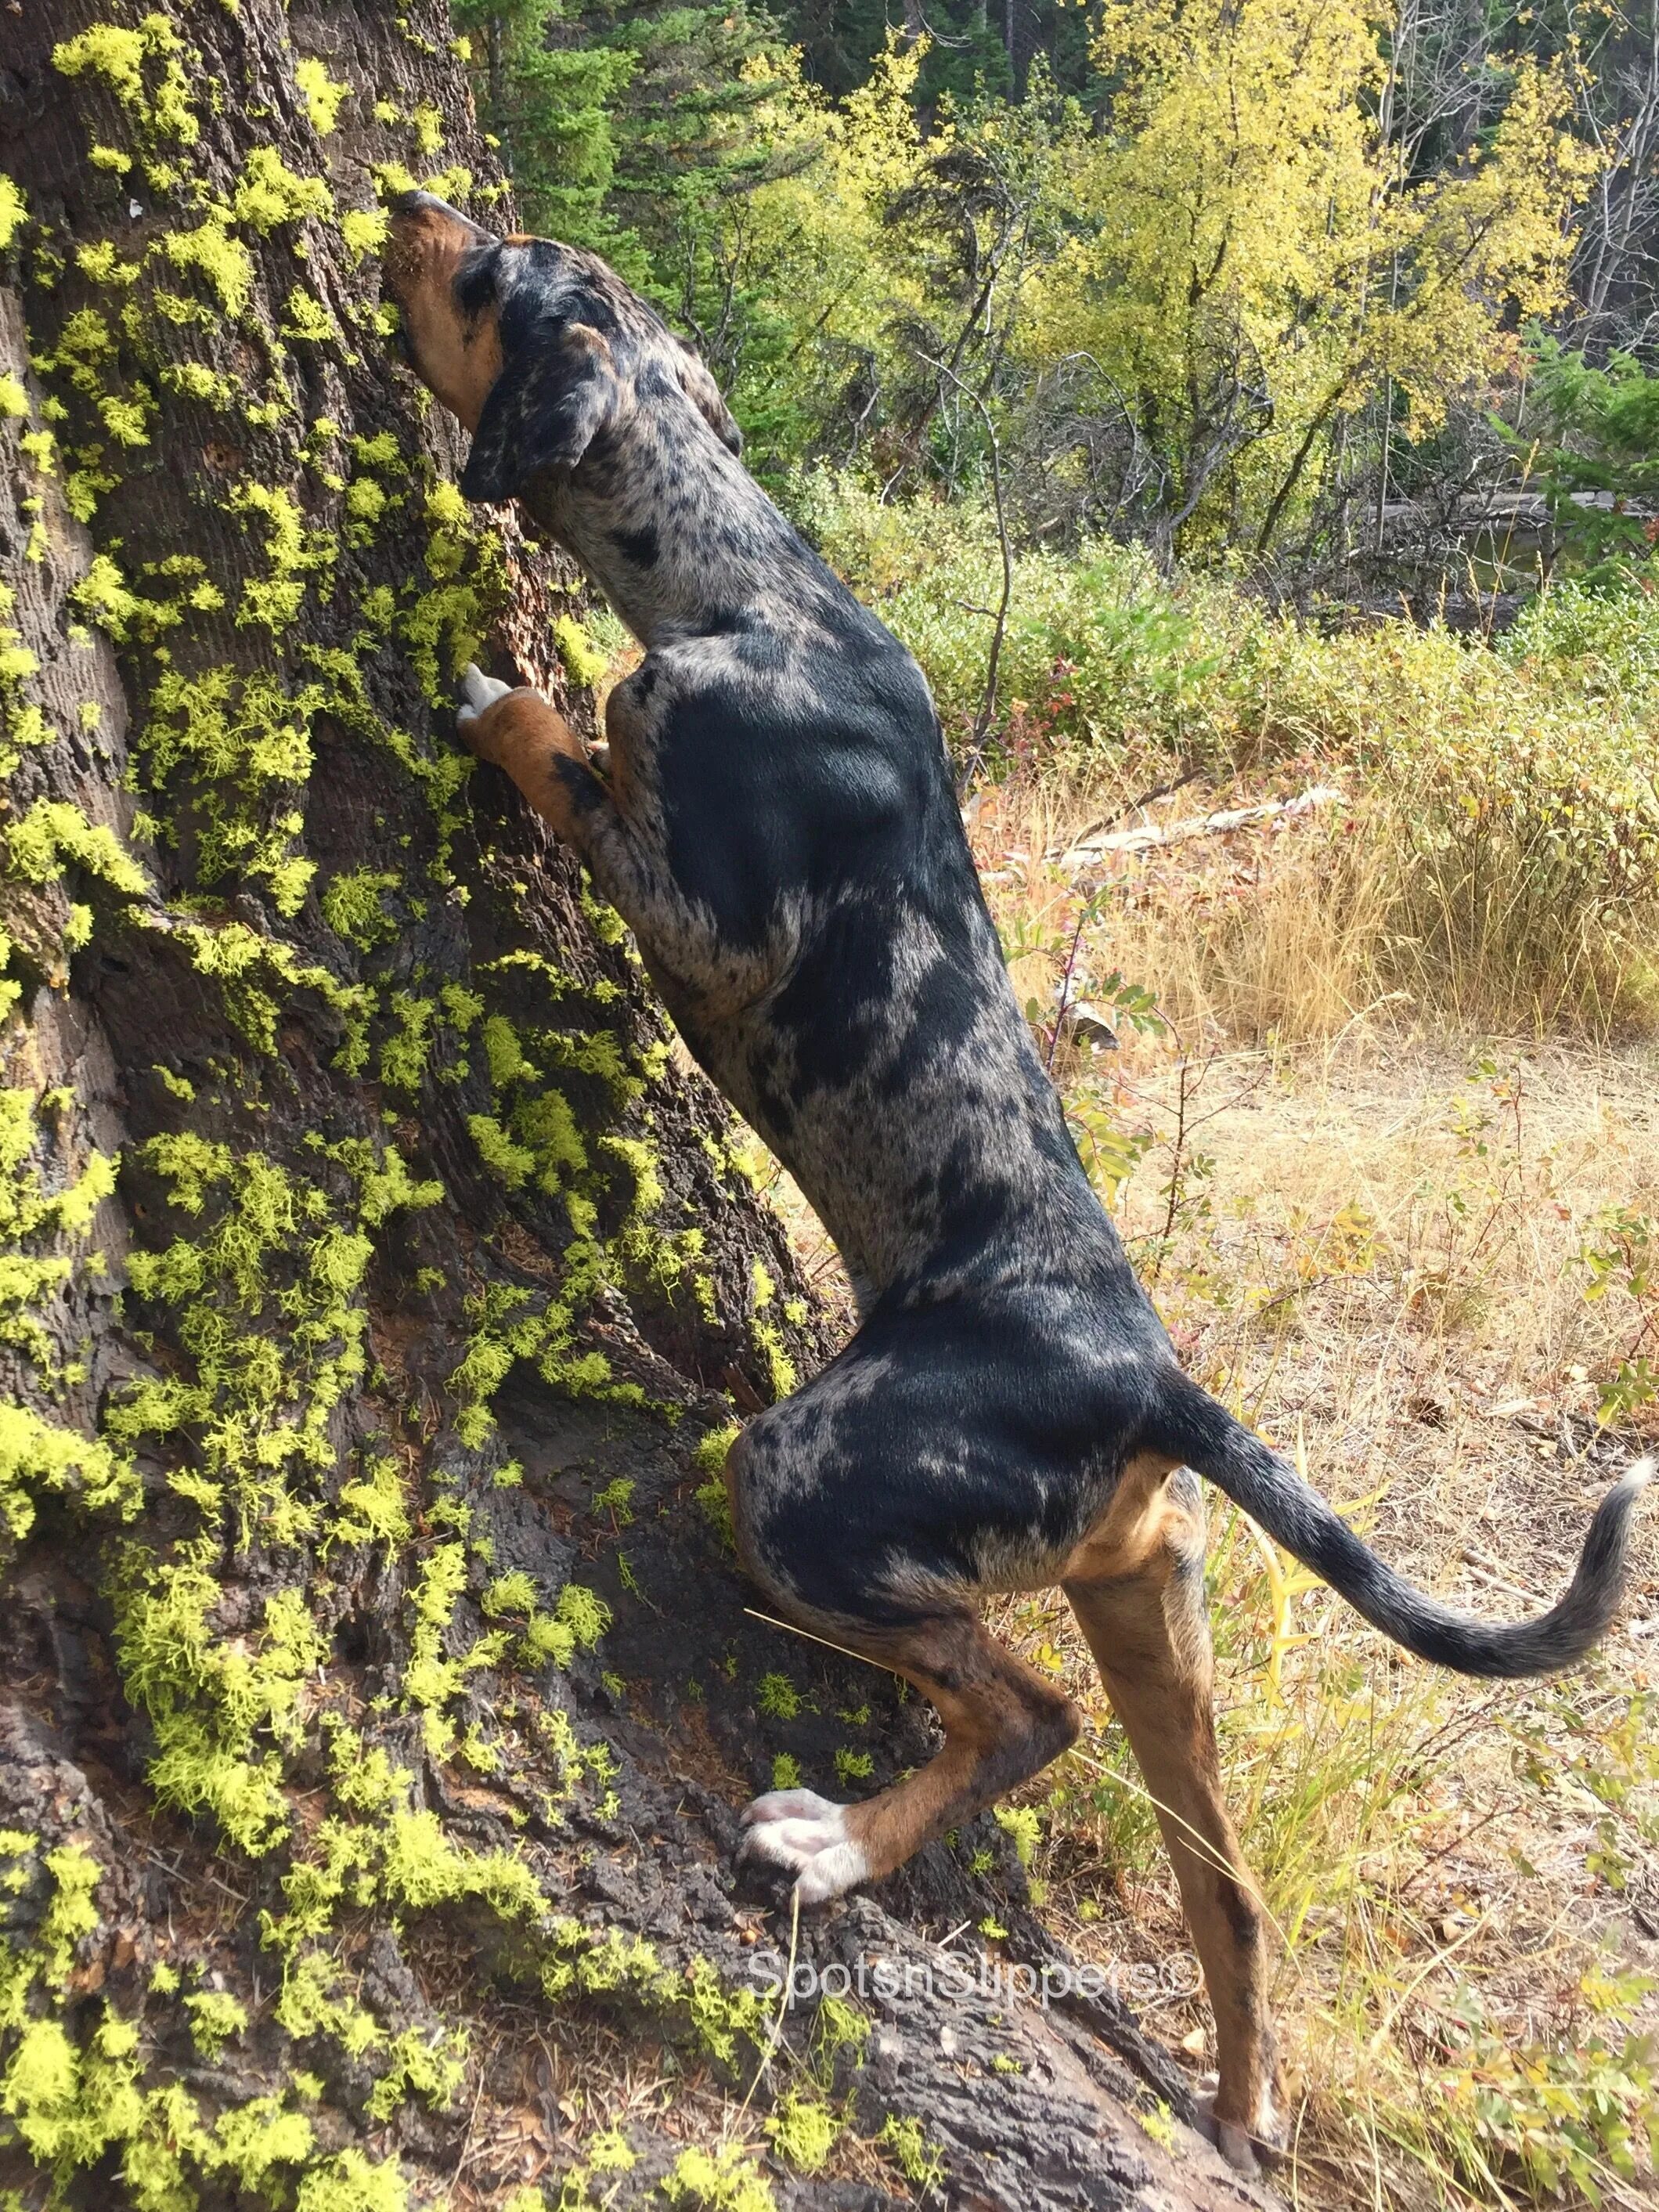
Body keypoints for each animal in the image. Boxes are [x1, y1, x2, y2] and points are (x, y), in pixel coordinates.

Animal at [382, 194, 1654, 2176]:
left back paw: (837, 1845)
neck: (756, 592)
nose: (400, 209)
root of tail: (1153, 1381)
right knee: (1228, 1888)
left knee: (1017, 1713)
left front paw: (495, 687)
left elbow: (558, 744)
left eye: (491, 267)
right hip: (1152, 1612)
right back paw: (1238, 2104)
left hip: (805, 1478)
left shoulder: (698, 909)